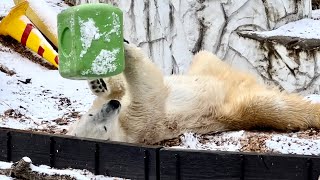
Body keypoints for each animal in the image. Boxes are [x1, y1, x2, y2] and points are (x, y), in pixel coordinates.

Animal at [67, 42, 320, 145]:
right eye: (103, 129)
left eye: (91, 116)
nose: (113, 106)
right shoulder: (140, 122)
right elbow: (149, 89)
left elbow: (120, 90)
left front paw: (100, 81)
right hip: (232, 107)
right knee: (271, 106)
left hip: (205, 67)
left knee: (204, 55)